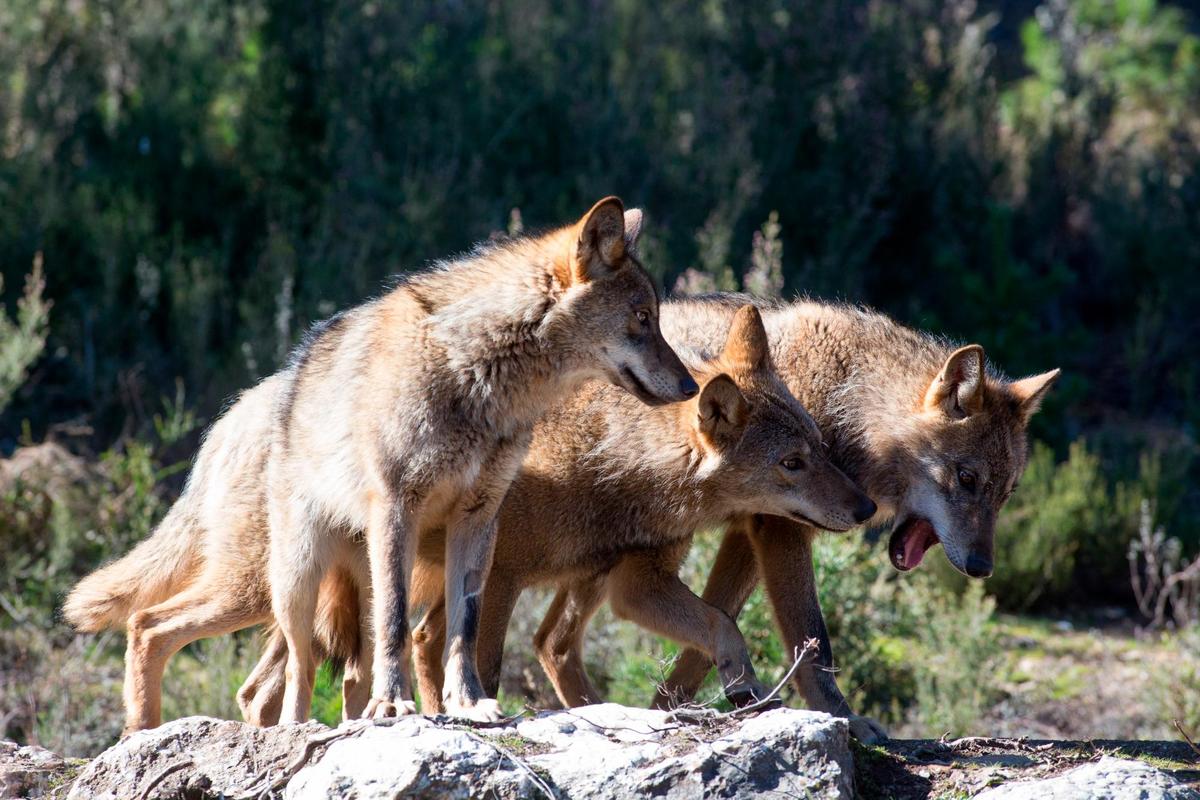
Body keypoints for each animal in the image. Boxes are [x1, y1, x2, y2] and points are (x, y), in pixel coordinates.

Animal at [65, 199, 700, 734]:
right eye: (642, 317)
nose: (693, 387)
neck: (477, 375)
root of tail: (232, 416)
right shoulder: (399, 508)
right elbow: (399, 624)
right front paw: (395, 706)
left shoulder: (479, 520)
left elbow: (464, 628)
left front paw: (468, 703)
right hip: (282, 584)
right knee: (175, 635)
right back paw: (161, 733)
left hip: (334, 586)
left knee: (304, 677)